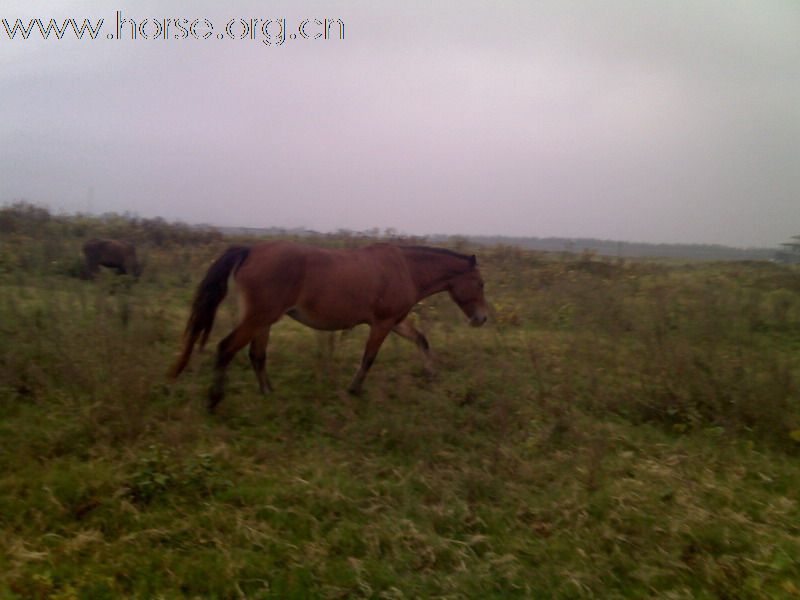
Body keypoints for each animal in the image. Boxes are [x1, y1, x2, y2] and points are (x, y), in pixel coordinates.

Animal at [172, 240, 490, 412]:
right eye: (480, 283)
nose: (482, 318)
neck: (405, 269)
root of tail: (251, 250)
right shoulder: (382, 323)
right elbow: (369, 358)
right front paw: (354, 389)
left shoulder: (395, 322)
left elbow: (421, 339)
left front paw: (431, 374)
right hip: (258, 318)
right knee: (226, 348)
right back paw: (214, 401)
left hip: (263, 320)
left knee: (256, 355)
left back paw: (267, 393)